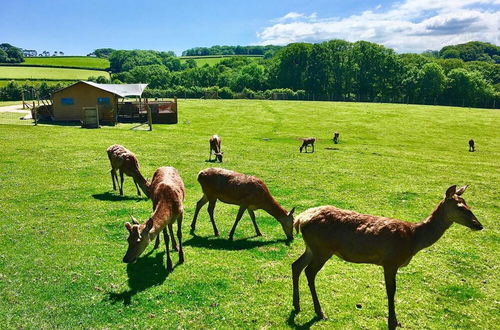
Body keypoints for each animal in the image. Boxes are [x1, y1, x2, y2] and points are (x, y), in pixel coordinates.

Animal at [292, 184, 482, 328]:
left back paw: (297, 304)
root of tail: (300, 219)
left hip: (312, 248)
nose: (478, 225)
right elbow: (391, 290)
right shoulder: (390, 261)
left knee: (296, 265)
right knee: (309, 271)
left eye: (469, 205)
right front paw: (393, 321)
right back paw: (319, 311)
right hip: (322, 249)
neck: (413, 239)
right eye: (460, 207)